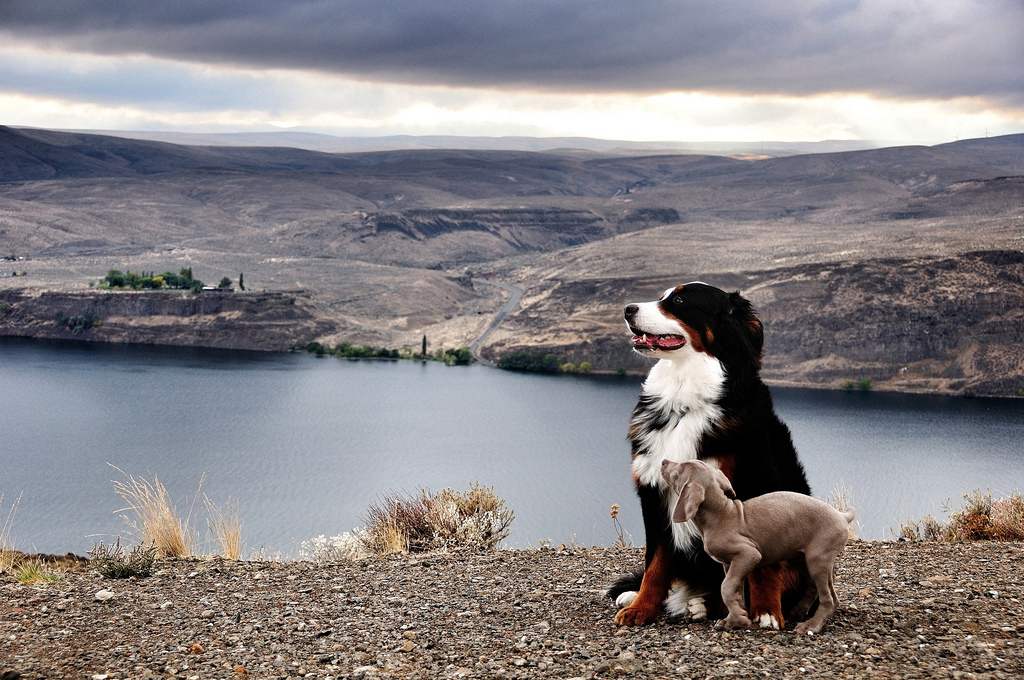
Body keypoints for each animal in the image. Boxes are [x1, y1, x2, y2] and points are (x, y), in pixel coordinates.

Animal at [602, 280, 811, 626]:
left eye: (679, 301)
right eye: (661, 297)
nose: (627, 309)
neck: (685, 401)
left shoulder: (758, 484)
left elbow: (763, 567)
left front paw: (766, 610)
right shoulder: (653, 492)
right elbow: (655, 562)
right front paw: (642, 607)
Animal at [663, 458, 856, 634]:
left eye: (680, 469)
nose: (664, 461)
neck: (721, 515)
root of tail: (842, 515)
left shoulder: (749, 554)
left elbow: (726, 587)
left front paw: (739, 618)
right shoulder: (729, 564)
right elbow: (736, 591)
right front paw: (732, 619)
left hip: (818, 558)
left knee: (829, 598)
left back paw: (811, 626)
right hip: (802, 558)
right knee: (817, 588)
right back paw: (798, 611)